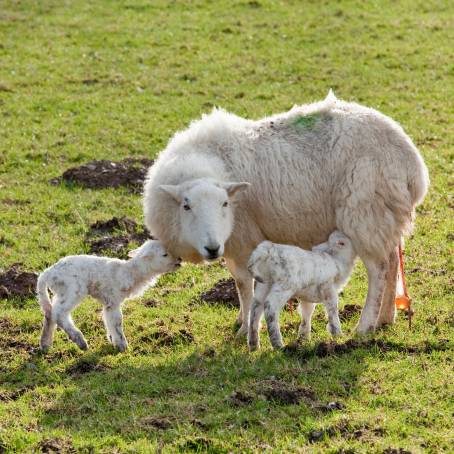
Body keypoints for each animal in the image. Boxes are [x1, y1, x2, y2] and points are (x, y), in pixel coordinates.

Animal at [36, 239, 181, 352]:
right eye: (165, 254)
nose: (179, 260)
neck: (130, 272)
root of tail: (47, 274)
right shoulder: (113, 300)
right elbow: (117, 321)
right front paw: (122, 346)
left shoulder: (108, 303)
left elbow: (108, 320)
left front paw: (113, 340)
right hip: (72, 288)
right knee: (58, 313)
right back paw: (80, 341)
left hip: (61, 292)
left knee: (49, 313)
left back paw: (45, 344)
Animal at [145, 92, 430, 338]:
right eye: (186, 206)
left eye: (225, 203)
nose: (212, 248)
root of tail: (413, 165)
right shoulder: (233, 243)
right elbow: (239, 283)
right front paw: (241, 320)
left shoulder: (244, 238)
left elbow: (245, 286)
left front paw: (246, 328)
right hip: (385, 216)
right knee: (392, 261)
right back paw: (386, 318)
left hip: (365, 213)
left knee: (379, 270)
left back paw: (366, 325)